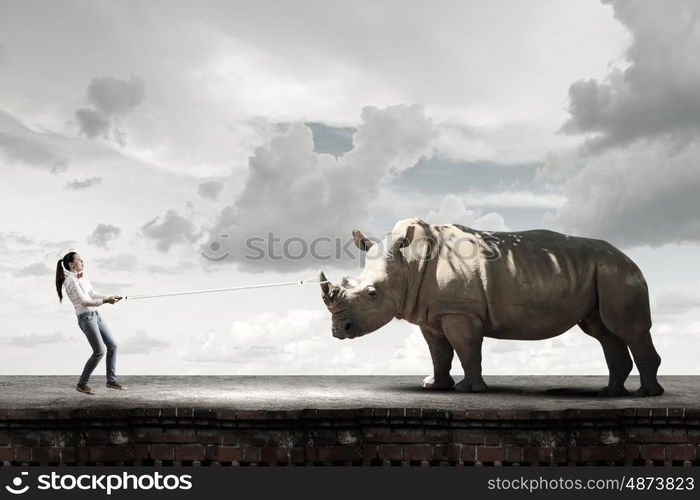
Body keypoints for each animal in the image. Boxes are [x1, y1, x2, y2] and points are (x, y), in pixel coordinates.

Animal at [320, 217, 664, 396]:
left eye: (372, 293)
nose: (339, 330)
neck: (408, 265)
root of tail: (626, 256)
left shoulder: (460, 312)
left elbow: (467, 350)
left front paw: (468, 390)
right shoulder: (432, 314)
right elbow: (439, 353)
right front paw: (435, 385)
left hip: (615, 272)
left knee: (627, 330)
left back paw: (646, 395)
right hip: (601, 272)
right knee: (604, 332)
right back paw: (611, 393)